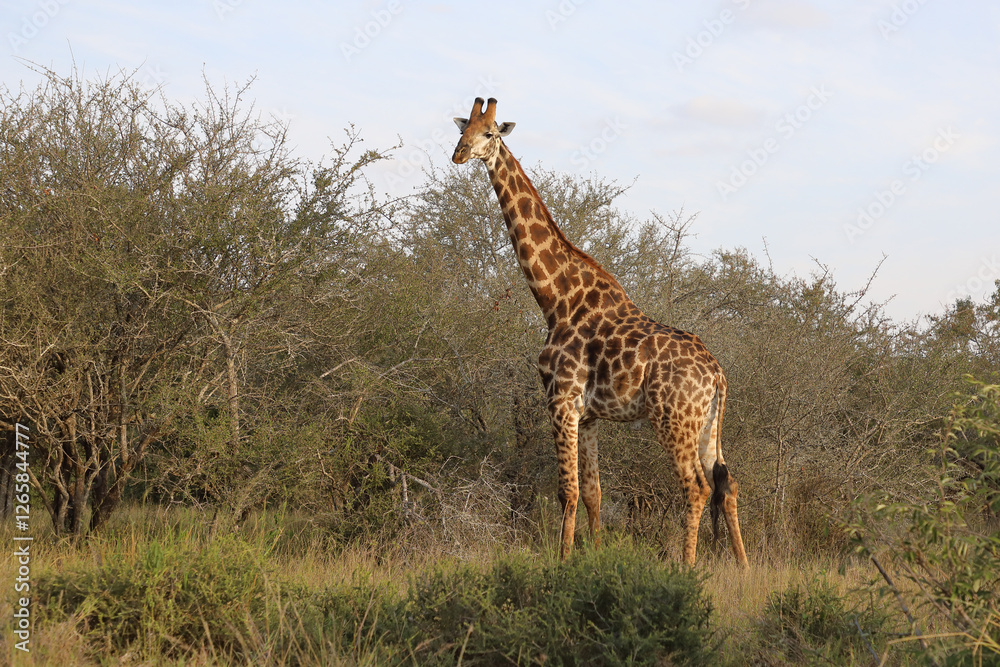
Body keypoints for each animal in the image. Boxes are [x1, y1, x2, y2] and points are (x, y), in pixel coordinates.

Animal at [452, 97, 749, 568]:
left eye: (491, 134)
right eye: (462, 130)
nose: (459, 154)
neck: (555, 299)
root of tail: (718, 374)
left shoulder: (560, 402)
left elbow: (567, 491)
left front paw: (563, 560)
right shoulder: (588, 414)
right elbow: (593, 493)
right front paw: (590, 554)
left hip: (673, 420)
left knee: (698, 488)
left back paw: (687, 567)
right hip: (707, 424)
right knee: (727, 484)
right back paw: (743, 566)